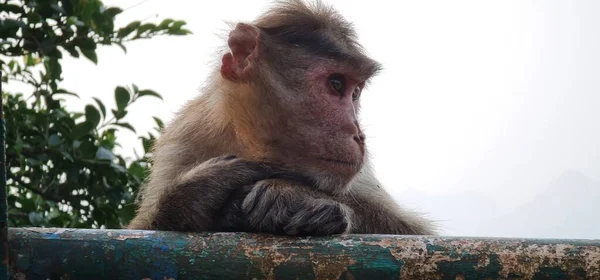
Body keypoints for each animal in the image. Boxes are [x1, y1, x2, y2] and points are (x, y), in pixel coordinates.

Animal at [127, 0, 436, 236]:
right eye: (337, 84)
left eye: (356, 92)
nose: (358, 134)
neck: (251, 142)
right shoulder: (183, 140)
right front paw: (198, 192)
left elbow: (413, 233)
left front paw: (291, 195)